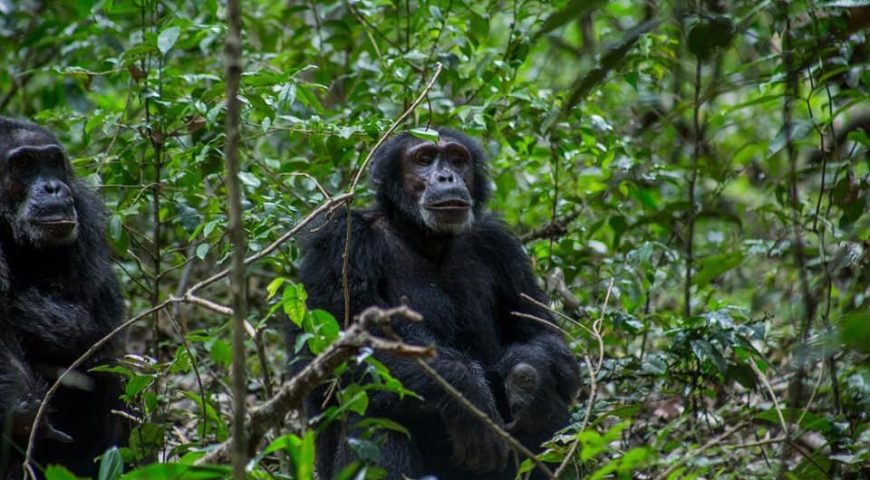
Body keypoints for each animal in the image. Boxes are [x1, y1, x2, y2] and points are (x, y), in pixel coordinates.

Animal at [0, 117, 127, 480]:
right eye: (24, 164)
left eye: (53, 161)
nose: (53, 187)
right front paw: (25, 413)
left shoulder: (85, 213)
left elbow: (87, 325)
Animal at [296, 127, 584, 480]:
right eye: (423, 159)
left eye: (457, 159)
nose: (446, 176)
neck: (424, 237)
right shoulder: (340, 243)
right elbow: (338, 348)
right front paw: (465, 393)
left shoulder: (502, 246)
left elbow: (544, 337)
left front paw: (526, 379)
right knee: (372, 408)